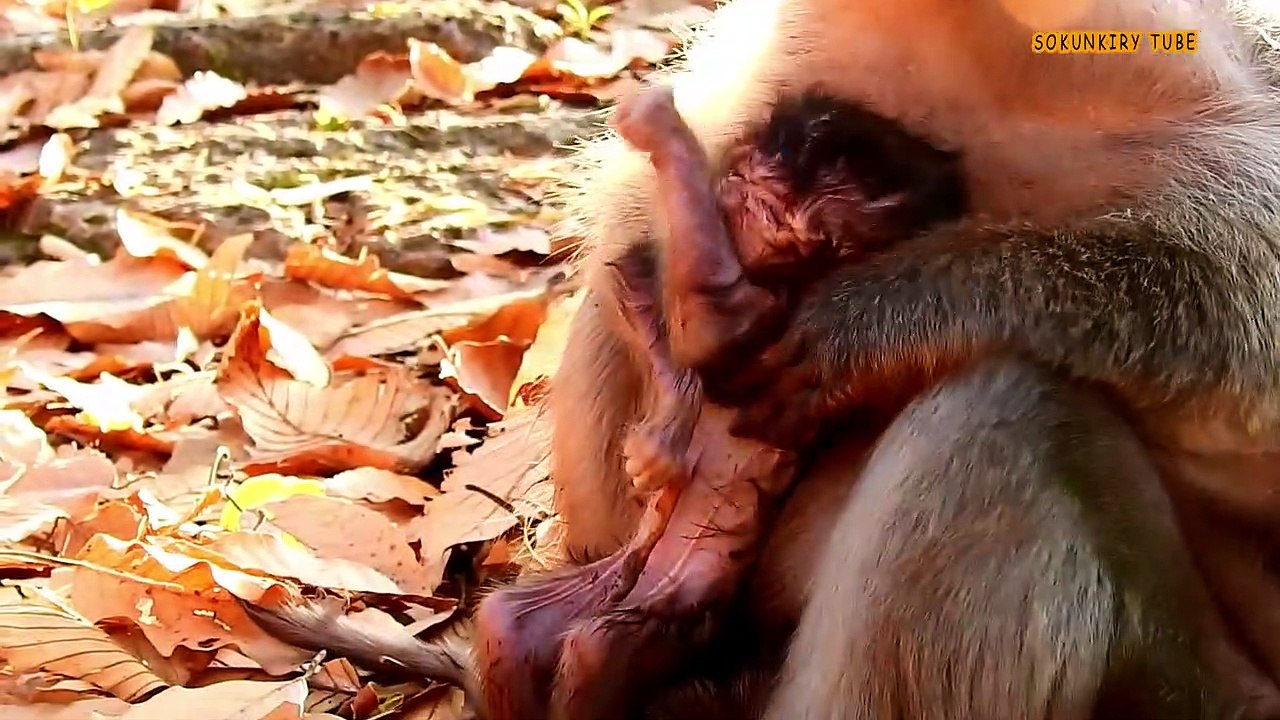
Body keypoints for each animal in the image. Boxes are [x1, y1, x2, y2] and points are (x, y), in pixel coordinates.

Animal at [249, 0, 1280, 717]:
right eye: (768, 183)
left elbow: (1240, 323)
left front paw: (891, 312)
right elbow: (640, 247)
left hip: (1185, 683)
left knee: (996, 416)